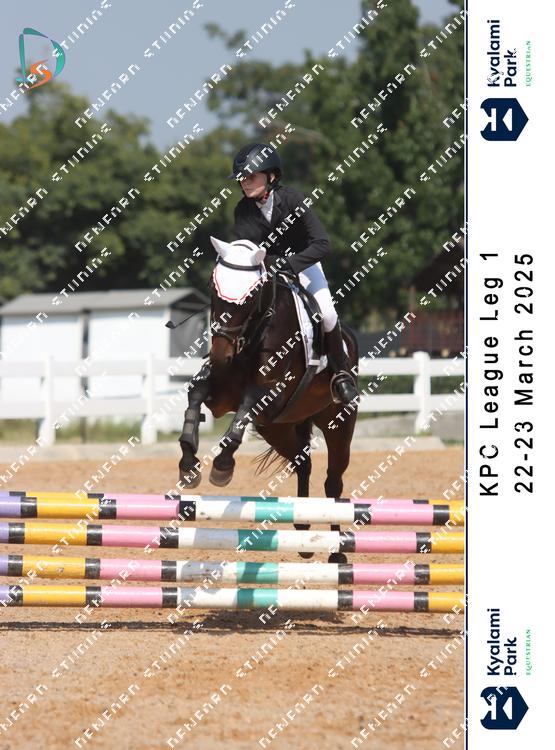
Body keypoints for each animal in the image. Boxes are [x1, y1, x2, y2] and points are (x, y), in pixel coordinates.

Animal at [177, 237, 359, 562]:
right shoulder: (221, 397)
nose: (220, 355)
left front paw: (222, 466)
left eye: (251, 296)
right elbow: (196, 396)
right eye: (212, 287)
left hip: (339, 423)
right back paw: (303, 529)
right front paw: (188, 463)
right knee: (303, 462)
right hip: (278, 429)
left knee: (333, 481)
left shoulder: (270, 396)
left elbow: (245, 410)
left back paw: (337, 553)